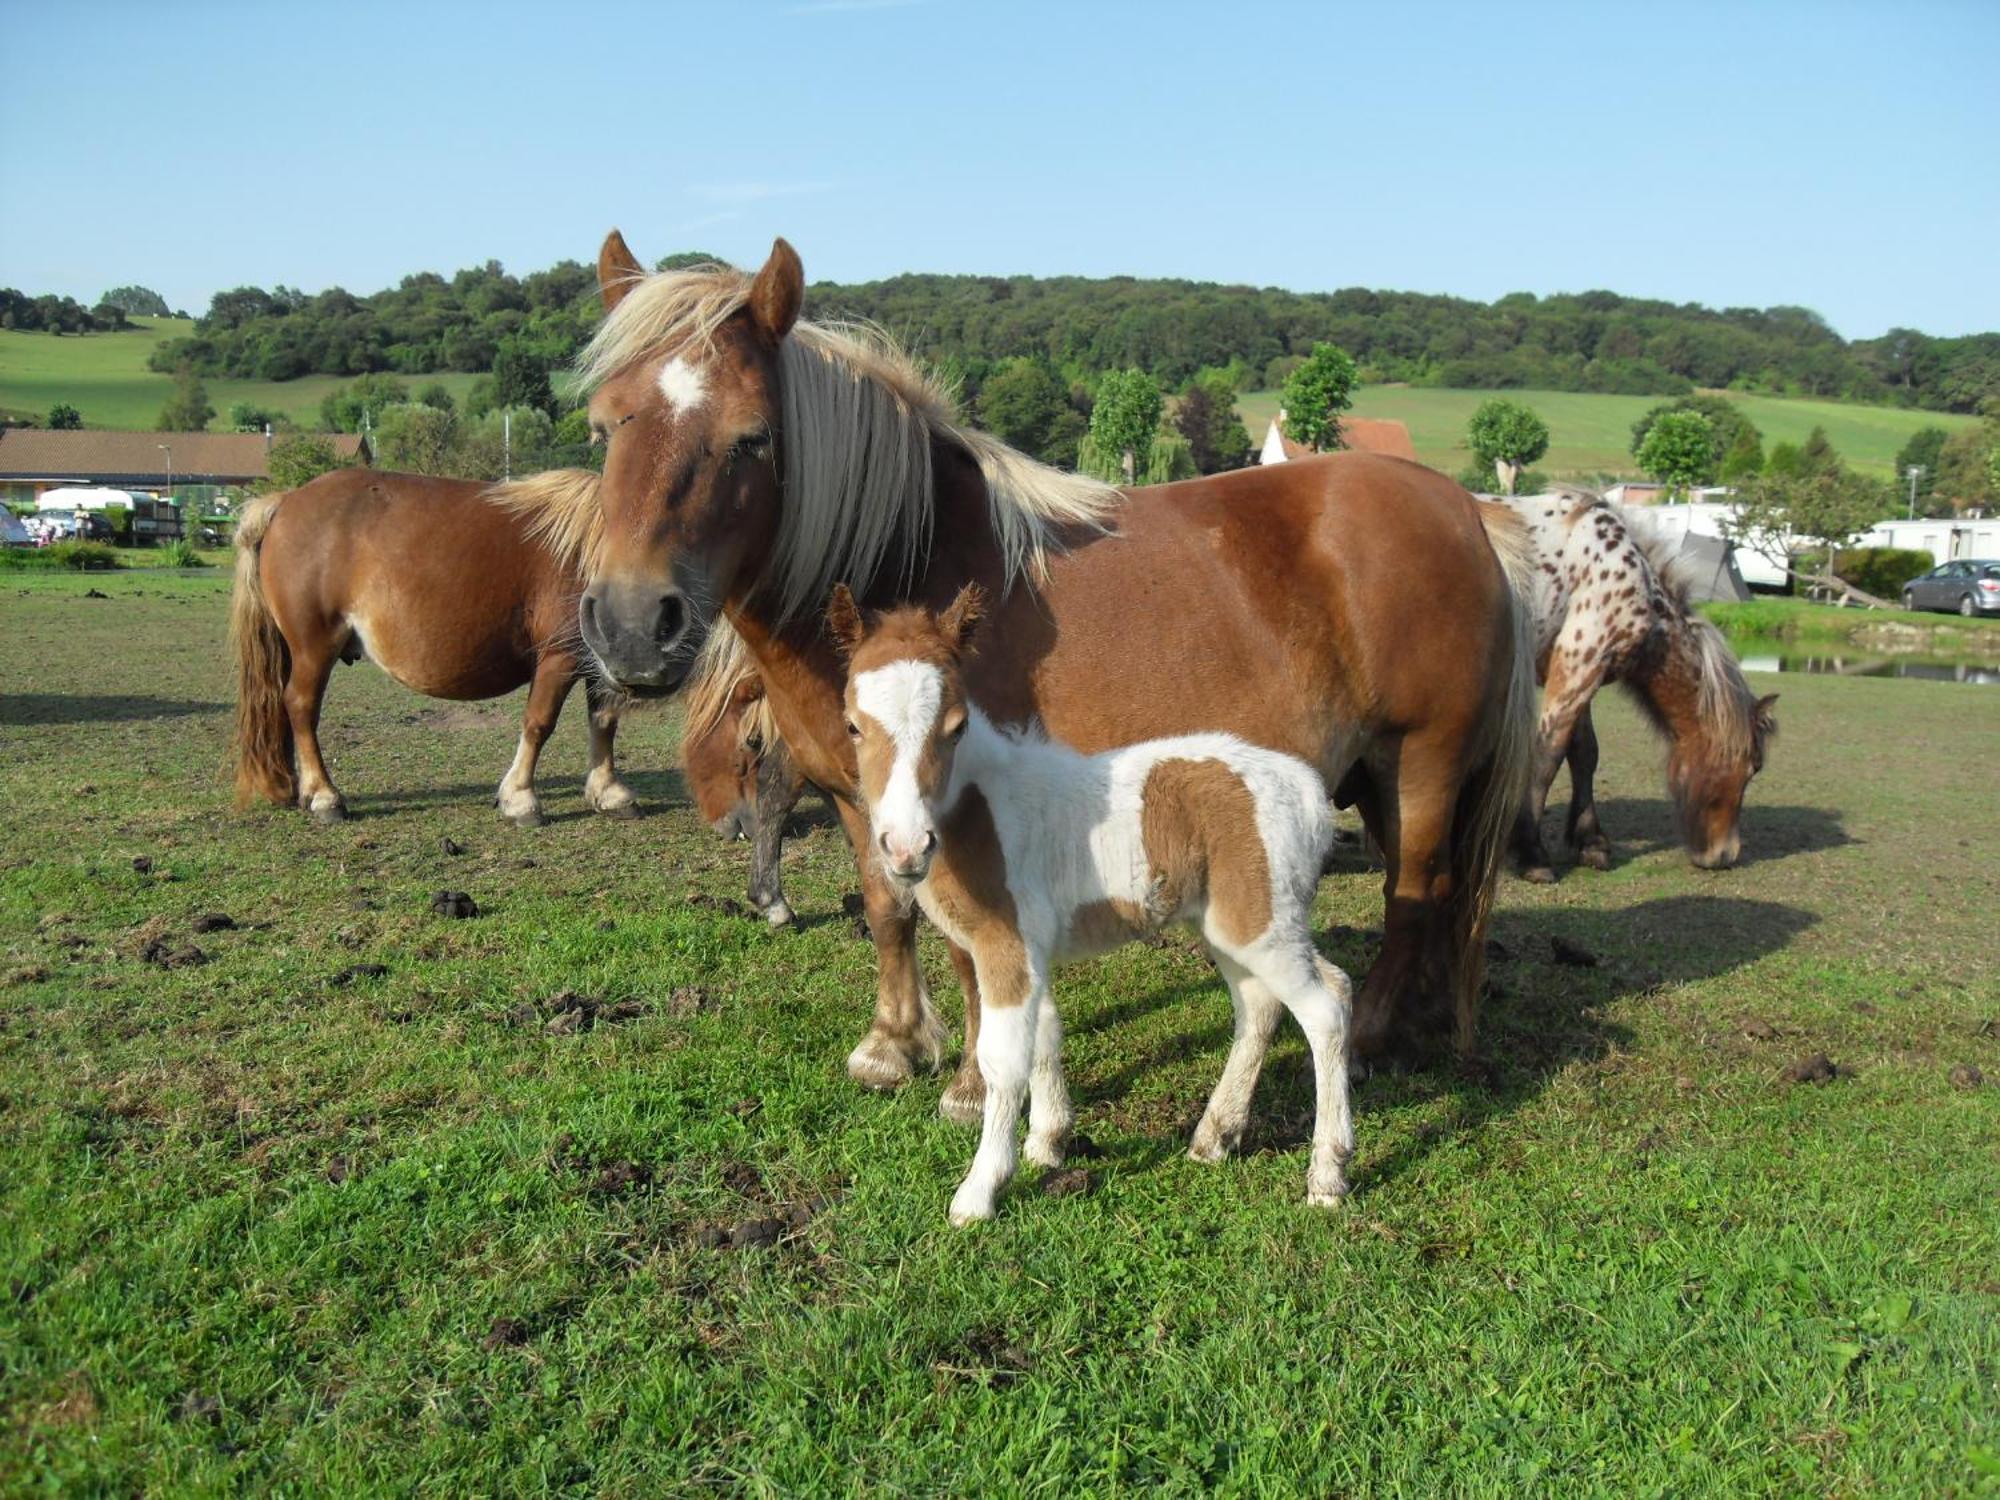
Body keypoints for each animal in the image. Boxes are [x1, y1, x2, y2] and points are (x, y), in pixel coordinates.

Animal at [572, 235, 1536, 1120]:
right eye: (602, 425)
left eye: (752, 438)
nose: (632, 624)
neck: (907, 563)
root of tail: (1467, 511)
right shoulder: (858, 795)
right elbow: (889, 911)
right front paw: (893, 1044)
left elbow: (965, 942)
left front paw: (969, 1079)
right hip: (1373, 772)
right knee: (1431, 891)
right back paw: (1414, 1025)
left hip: (1422, 763)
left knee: (1414, 892)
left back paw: (1370, 1040)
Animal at [828, 580, 1360, 1224]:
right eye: (853, 726)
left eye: (955, 726)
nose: (906, 846)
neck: (979, 808)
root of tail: (1309, 792)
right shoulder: (1030, 949)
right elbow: (1044, 1034)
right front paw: (1048, 1143)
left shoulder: (1006, 944)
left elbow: (1002, 1058)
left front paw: (980, 1191)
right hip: (1228, 925)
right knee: (1261, 1005)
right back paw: (1214, 1137)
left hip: (1262, 925)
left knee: (1326, 1007)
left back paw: (1328, 1174)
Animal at [1488, 494, 1784, 880]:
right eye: (1753, 768)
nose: (1725, 854)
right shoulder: (1579, 665)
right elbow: (1546, 757)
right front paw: (1530, 856)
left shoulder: (1582, 670)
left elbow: (1584, 754)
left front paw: (1591, 843)